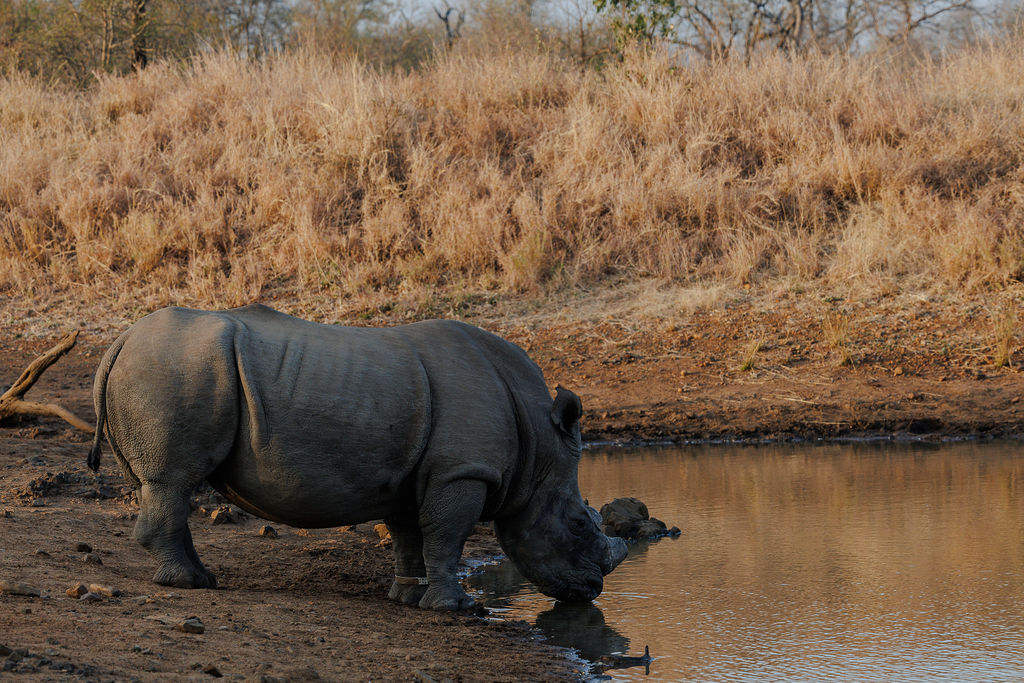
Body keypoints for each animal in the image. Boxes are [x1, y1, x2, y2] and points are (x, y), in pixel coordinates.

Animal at [87, 304, 628, 610]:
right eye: (580, 524)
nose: (591, 589)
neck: (538, 444)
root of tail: (120, 339)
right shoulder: (461, 472)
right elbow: (446, 535)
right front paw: (454, 608)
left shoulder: (417, 474)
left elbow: (411, 535)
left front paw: (406, 598)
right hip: (174, 367)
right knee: (173, 479)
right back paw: (189, 586)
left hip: (168, 365)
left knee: (165, 487)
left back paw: (201, 578)